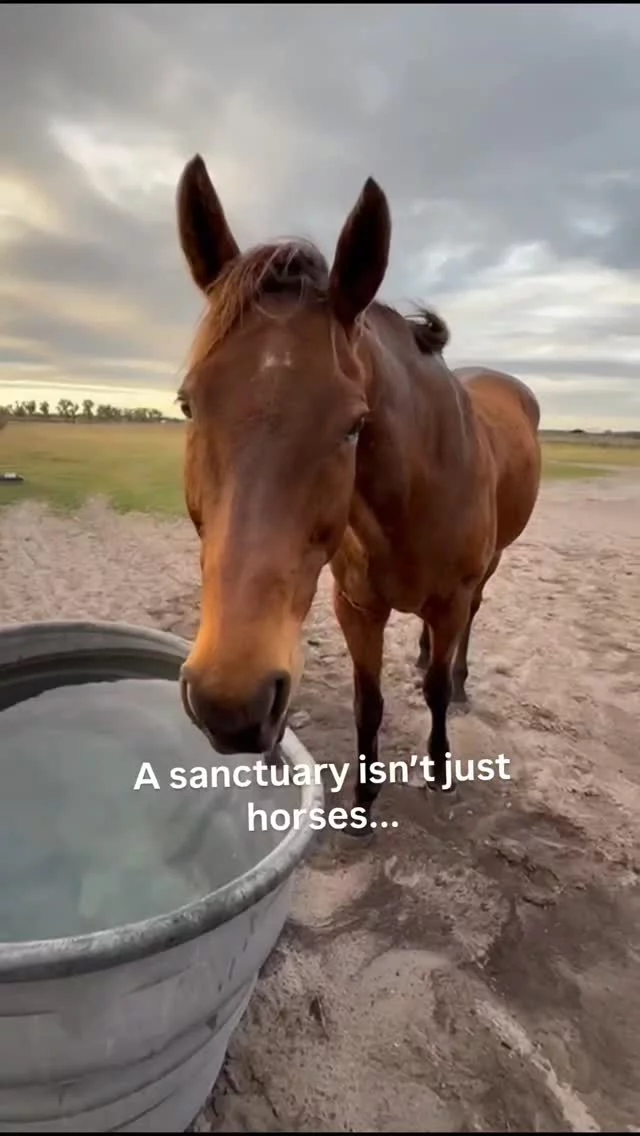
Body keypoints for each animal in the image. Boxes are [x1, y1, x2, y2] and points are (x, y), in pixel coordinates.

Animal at [175, 153, 541, 828]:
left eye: (353, 423)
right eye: (188, 404)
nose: (230, 702)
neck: (410, 500)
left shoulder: (451, 598)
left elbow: (436, 692)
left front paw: (440, 770)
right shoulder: (355, 606)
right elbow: (366, 702)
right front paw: (364, 799)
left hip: (488, 568)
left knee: (468, 630)